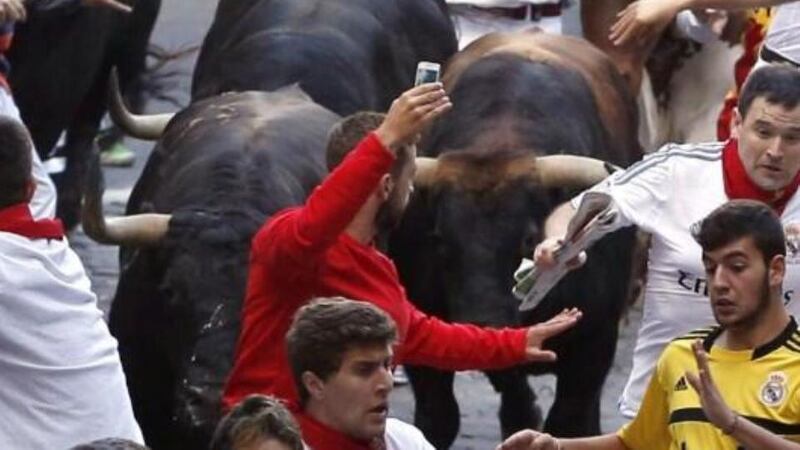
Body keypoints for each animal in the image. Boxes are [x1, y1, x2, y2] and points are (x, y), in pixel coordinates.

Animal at [388, 32, 644, 446]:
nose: (484, 322)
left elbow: (568, 419)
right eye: (440, 239)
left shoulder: (596, 342)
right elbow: (445, 412)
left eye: (527, 238)